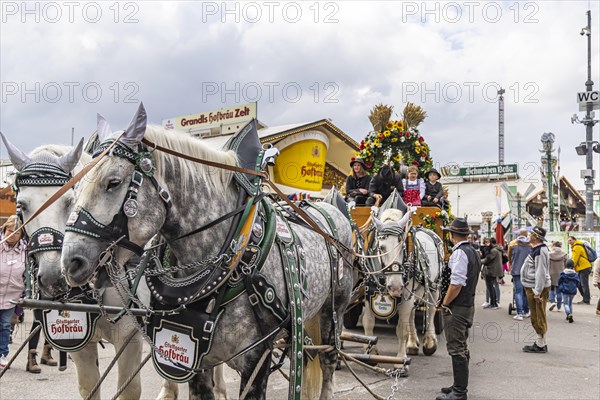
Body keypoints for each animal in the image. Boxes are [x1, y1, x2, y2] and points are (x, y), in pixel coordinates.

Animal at [360, 206, 440, 376]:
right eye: (381, 247)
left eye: (403, 246)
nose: (395, 286)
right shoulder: (369, 294)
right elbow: (368, 323)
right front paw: (371, 353)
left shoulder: (406, 296)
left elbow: (401, 329)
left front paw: (400, 362)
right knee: (412, 315)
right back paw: (412, 344)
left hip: (433, 287)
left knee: (430, 311)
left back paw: (429, 342)